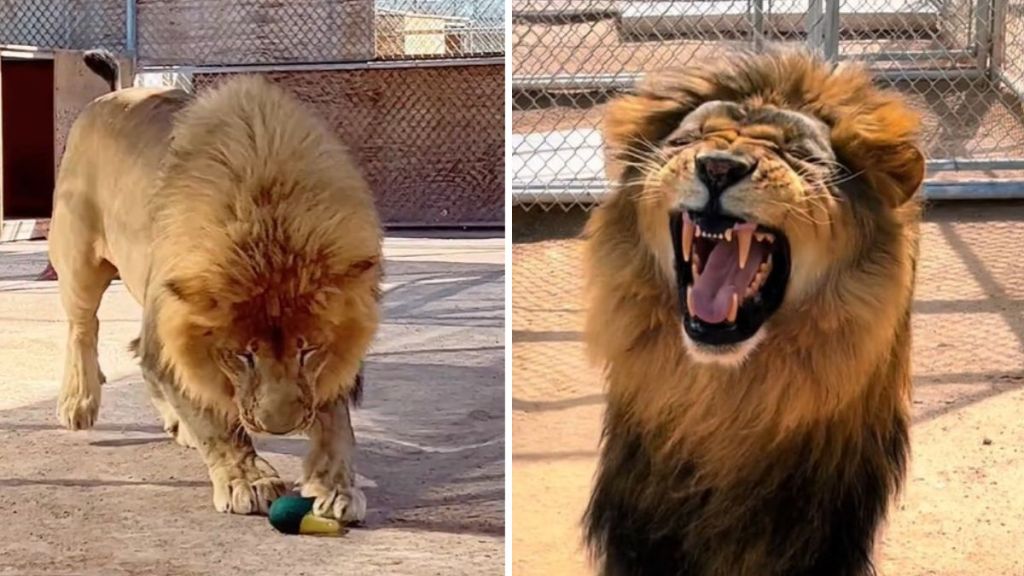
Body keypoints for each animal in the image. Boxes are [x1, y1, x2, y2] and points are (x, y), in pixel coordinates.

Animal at [49, 54, 382, 520]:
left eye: (309, 349)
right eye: (241, 355)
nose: (281, 428)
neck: (267, 209)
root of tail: (112, 94)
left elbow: (335, 421)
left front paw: (335, 485)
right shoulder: (175, 335)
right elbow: (217, 424)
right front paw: (248, 479)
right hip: (79, 258)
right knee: (83, 328)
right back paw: (79, 402)